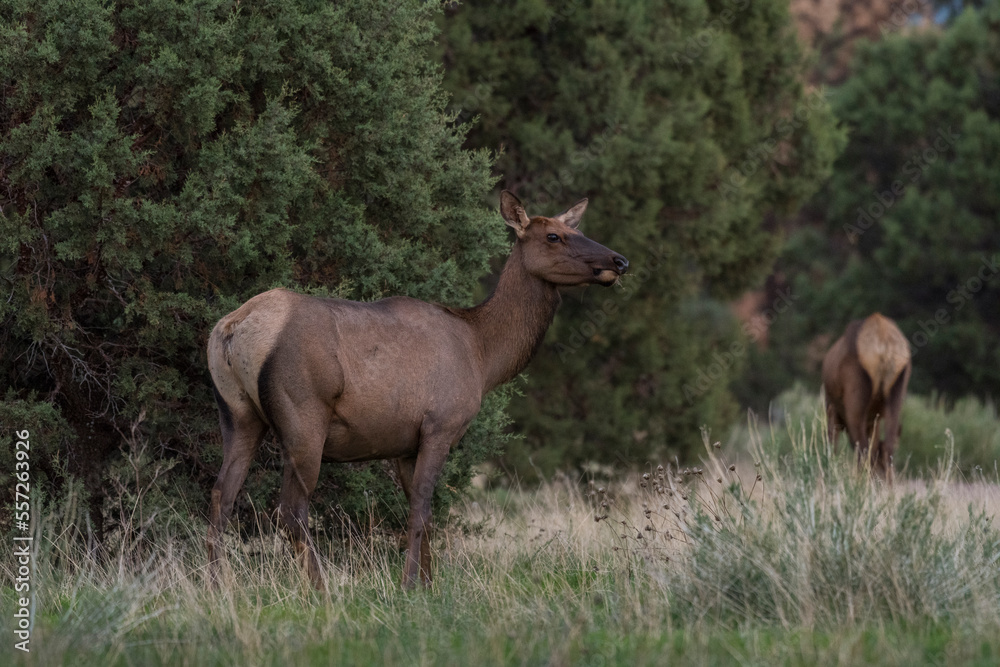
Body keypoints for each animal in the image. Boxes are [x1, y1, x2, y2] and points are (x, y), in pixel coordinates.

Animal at [204, 192, 628, 588]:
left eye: (576, 228)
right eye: (554, 236)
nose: (619, 261)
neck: (482, 355)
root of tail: (232, 329)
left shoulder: (405, 444)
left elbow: (421, 511)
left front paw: (428, 583)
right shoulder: (441, 425)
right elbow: (422, 509)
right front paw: (409, 583)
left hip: (238, 415)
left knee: (220, 495)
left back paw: (219, 587)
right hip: (303, 418)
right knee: (290, 511)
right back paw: (321, 592)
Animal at [820, 314, 916, 480]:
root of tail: (884, 346)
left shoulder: (832, 410)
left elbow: (832, 448)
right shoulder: (874, 420)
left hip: (855, 404)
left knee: (863, 451)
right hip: (896, 398)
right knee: (886, 448)